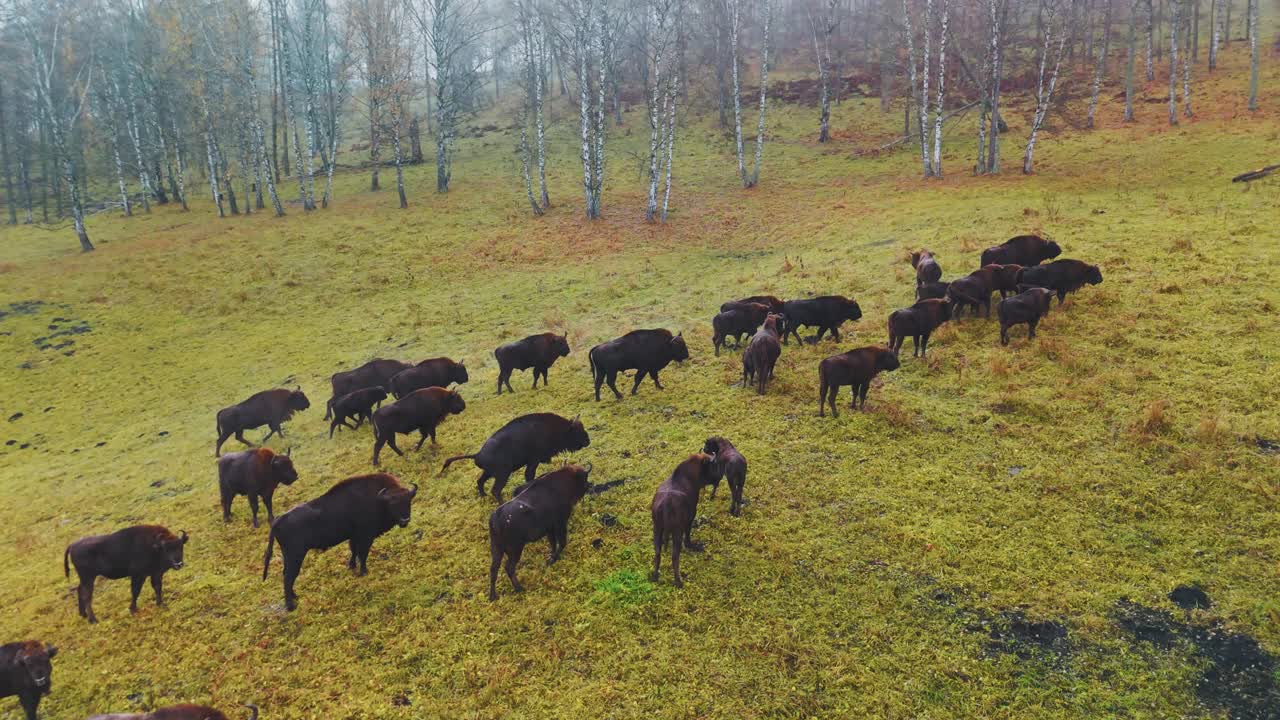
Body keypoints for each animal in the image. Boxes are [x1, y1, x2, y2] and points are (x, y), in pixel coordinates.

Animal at [263, 473, 417, 611]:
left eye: (408, 501)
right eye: (392, 504)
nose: (405, 520)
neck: (378, 500)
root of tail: (278, 521)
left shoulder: (354, 536)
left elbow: (354, 551)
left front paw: (352, 566)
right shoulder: (365, 536)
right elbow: (363, 553)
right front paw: (364, 572)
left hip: (288, 556)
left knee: (286, 575)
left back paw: (295, 597)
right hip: (296, 556)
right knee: (288, 577)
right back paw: (291, 606)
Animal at [441, 413, 590, 502]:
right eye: (577, 431)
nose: (588, 441)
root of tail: (477, 454)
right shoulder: (533, 461)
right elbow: (529, 475)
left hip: (489, 473)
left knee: (480, 482)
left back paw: (483, 496)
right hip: (502, 474)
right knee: (495, 490)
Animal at [487, 463, 593, 600]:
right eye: (584, 477)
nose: (589, 485)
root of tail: (496, 517)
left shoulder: (549, 529)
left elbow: (553, 543)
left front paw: (551, 557)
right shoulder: (560, 523)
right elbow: (562, 542)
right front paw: (552, 559)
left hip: (497, 549)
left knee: (494, 569)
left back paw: (493, 596)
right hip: (515, 549)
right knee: (508, 567)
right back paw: (519, 588)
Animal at [650, 453, 720, 588]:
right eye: (713, 465)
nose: (720, 477)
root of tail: (666, 504)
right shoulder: (690, 518)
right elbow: (687, 536)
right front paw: (692, 545)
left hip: (657, 529)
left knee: (657, 553)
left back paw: (655, 576)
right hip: (676, 531)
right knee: (674, 557)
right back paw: (678, 581)